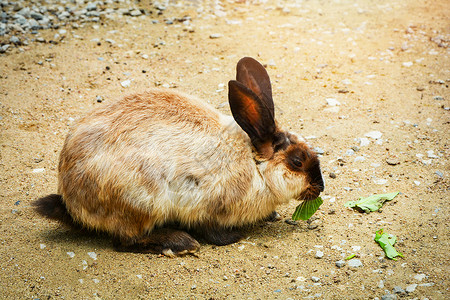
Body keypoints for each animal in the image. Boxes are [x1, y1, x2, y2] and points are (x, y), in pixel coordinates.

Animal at [34, 57, 324, 256]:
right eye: (297, 162)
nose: (320, 187)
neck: (255, 166)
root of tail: (71, 199)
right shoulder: (207, 206)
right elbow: (213, 231)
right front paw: (234, 236)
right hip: (142, 204)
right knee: (125, 240)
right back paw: (180, 243)